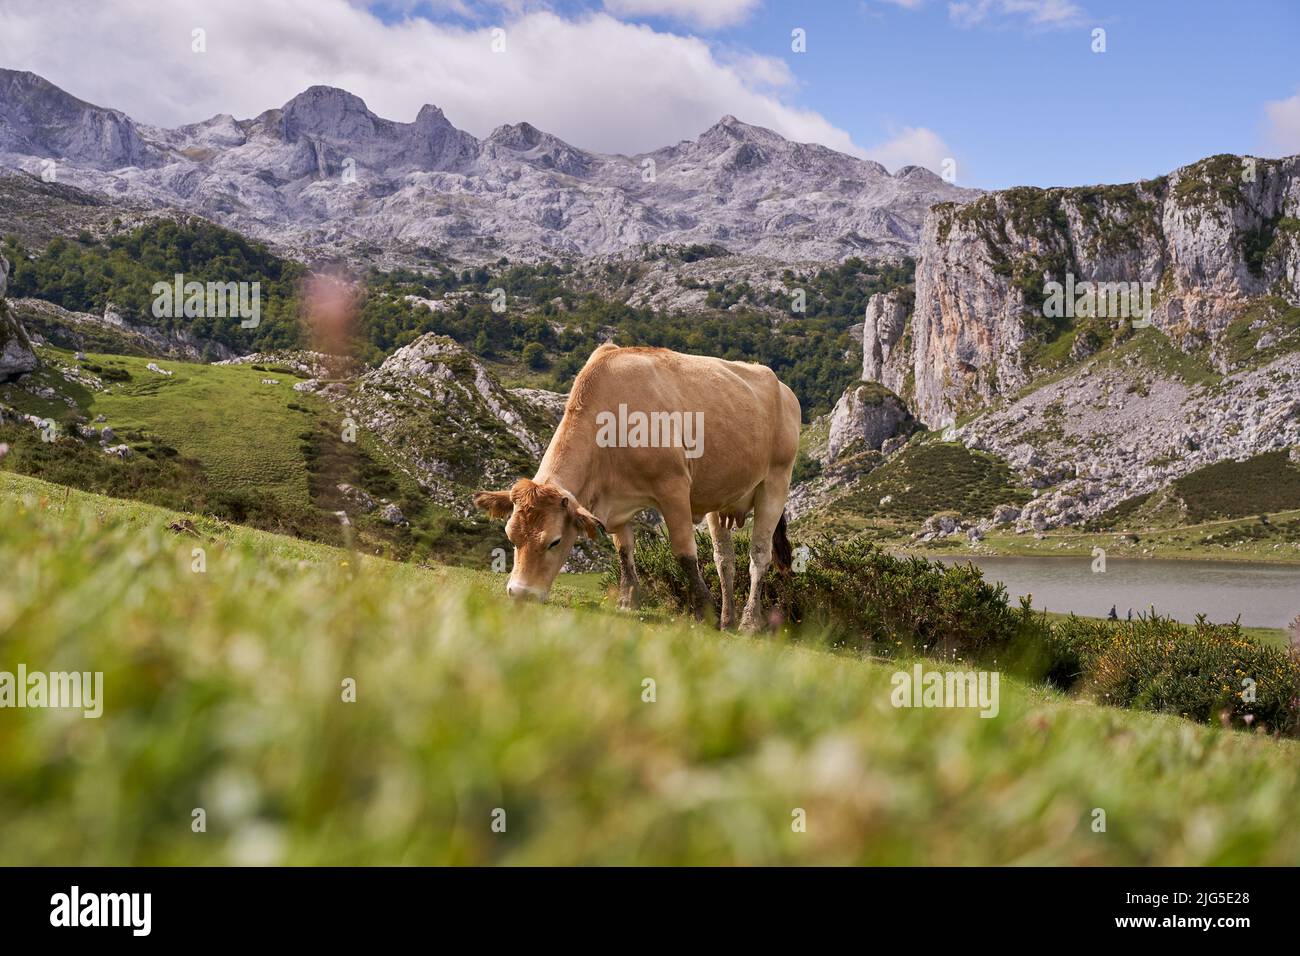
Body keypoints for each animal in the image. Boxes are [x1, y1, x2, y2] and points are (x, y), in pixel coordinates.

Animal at [473, 343, 801, 631]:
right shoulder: (614, 502)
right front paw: (627, 600)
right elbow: (624, 549)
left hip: (775, 483)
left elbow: (684, 552)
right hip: (718, 499)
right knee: (725, 560)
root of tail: (782, 387)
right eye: (511, 536)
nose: (520, 593)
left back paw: (749, 622)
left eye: (554, 541)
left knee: (759, 556)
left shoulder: (674, 487)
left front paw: (703, 610)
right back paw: (728, 619)